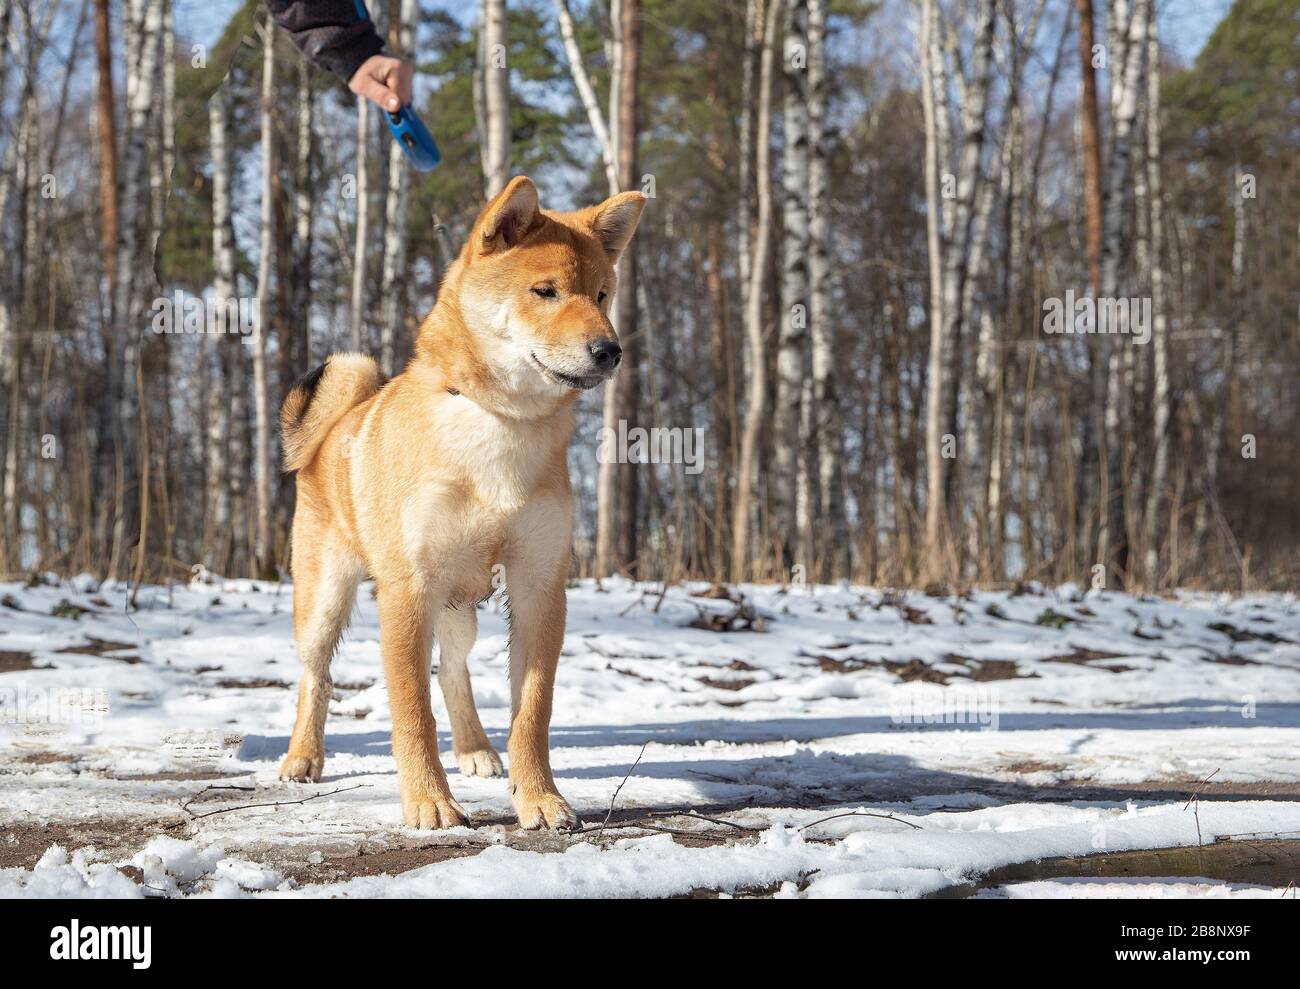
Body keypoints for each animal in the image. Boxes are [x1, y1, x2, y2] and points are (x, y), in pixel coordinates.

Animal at [278, 178, 644, 826]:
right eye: (545, 291)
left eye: (603, 294)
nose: (610, 350)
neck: (500, 424)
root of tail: (336, 425)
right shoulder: (408, 589)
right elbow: (412, 712)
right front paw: (429, 800)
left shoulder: (539, 586)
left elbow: (532, 710)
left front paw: (540, 798)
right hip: (324, 600)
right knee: (314, 677)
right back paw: (303, 756)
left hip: (460, 606)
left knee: (454, 670)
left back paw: (474, 748)